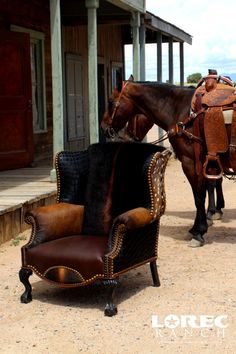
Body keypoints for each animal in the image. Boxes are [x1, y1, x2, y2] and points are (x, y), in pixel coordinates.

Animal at [100, 76, 233, 246]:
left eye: (111, 101)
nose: (103, 127)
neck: (182, 110)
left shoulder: (190, 162)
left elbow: (199, 196)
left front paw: (199, 231)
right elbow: (206, 190)